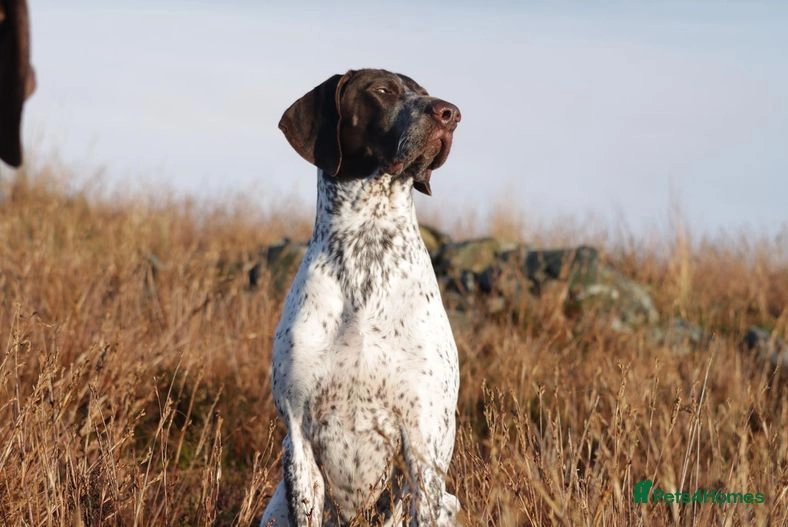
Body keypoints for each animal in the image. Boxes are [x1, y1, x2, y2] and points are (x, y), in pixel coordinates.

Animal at [262, 68, 462, 524]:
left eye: (424, 93)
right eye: (382, 90)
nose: (451, 113)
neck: (365, 247)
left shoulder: (423, 444)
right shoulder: (298, 437)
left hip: (448, 501)